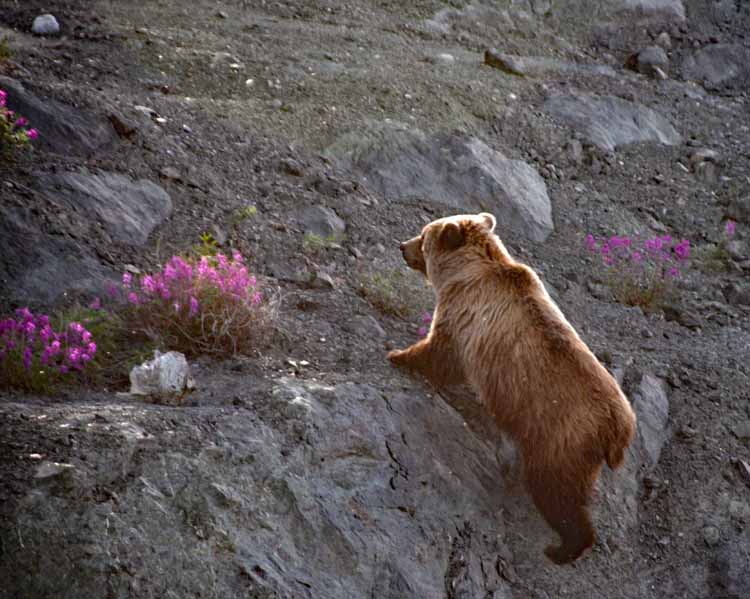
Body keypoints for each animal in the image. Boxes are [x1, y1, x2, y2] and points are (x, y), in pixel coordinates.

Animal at [387, 212, 636, 565]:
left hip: (560, 437)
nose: (402, 246)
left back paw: (563, 547)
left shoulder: (465, 315)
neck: (469, 270)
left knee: (556, 492)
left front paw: (398, 355)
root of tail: (620, 428)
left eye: (423, 237)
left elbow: (440, 353)